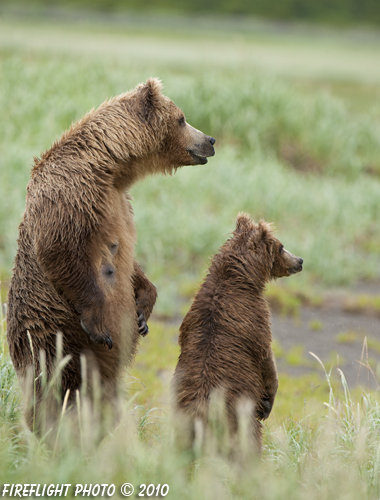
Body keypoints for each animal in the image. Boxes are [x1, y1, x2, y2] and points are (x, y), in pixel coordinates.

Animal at [6, 78, 214, 430]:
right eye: (182, 118)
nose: (210, 140)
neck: (110, 168)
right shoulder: (71, 194)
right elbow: (62, 252)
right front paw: (99, 325)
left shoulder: (120, 205)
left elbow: (131, 264)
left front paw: (143, 311)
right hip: (53, 340)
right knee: (60, 390)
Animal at [173, 213, 302, 456]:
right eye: (281, 247)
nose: (299, 260)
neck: (241, 277)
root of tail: (202, 414)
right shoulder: (254, 318)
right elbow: (266, 357)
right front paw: (269, 401)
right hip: (237, 420)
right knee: (248, 447)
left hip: (184, 422)